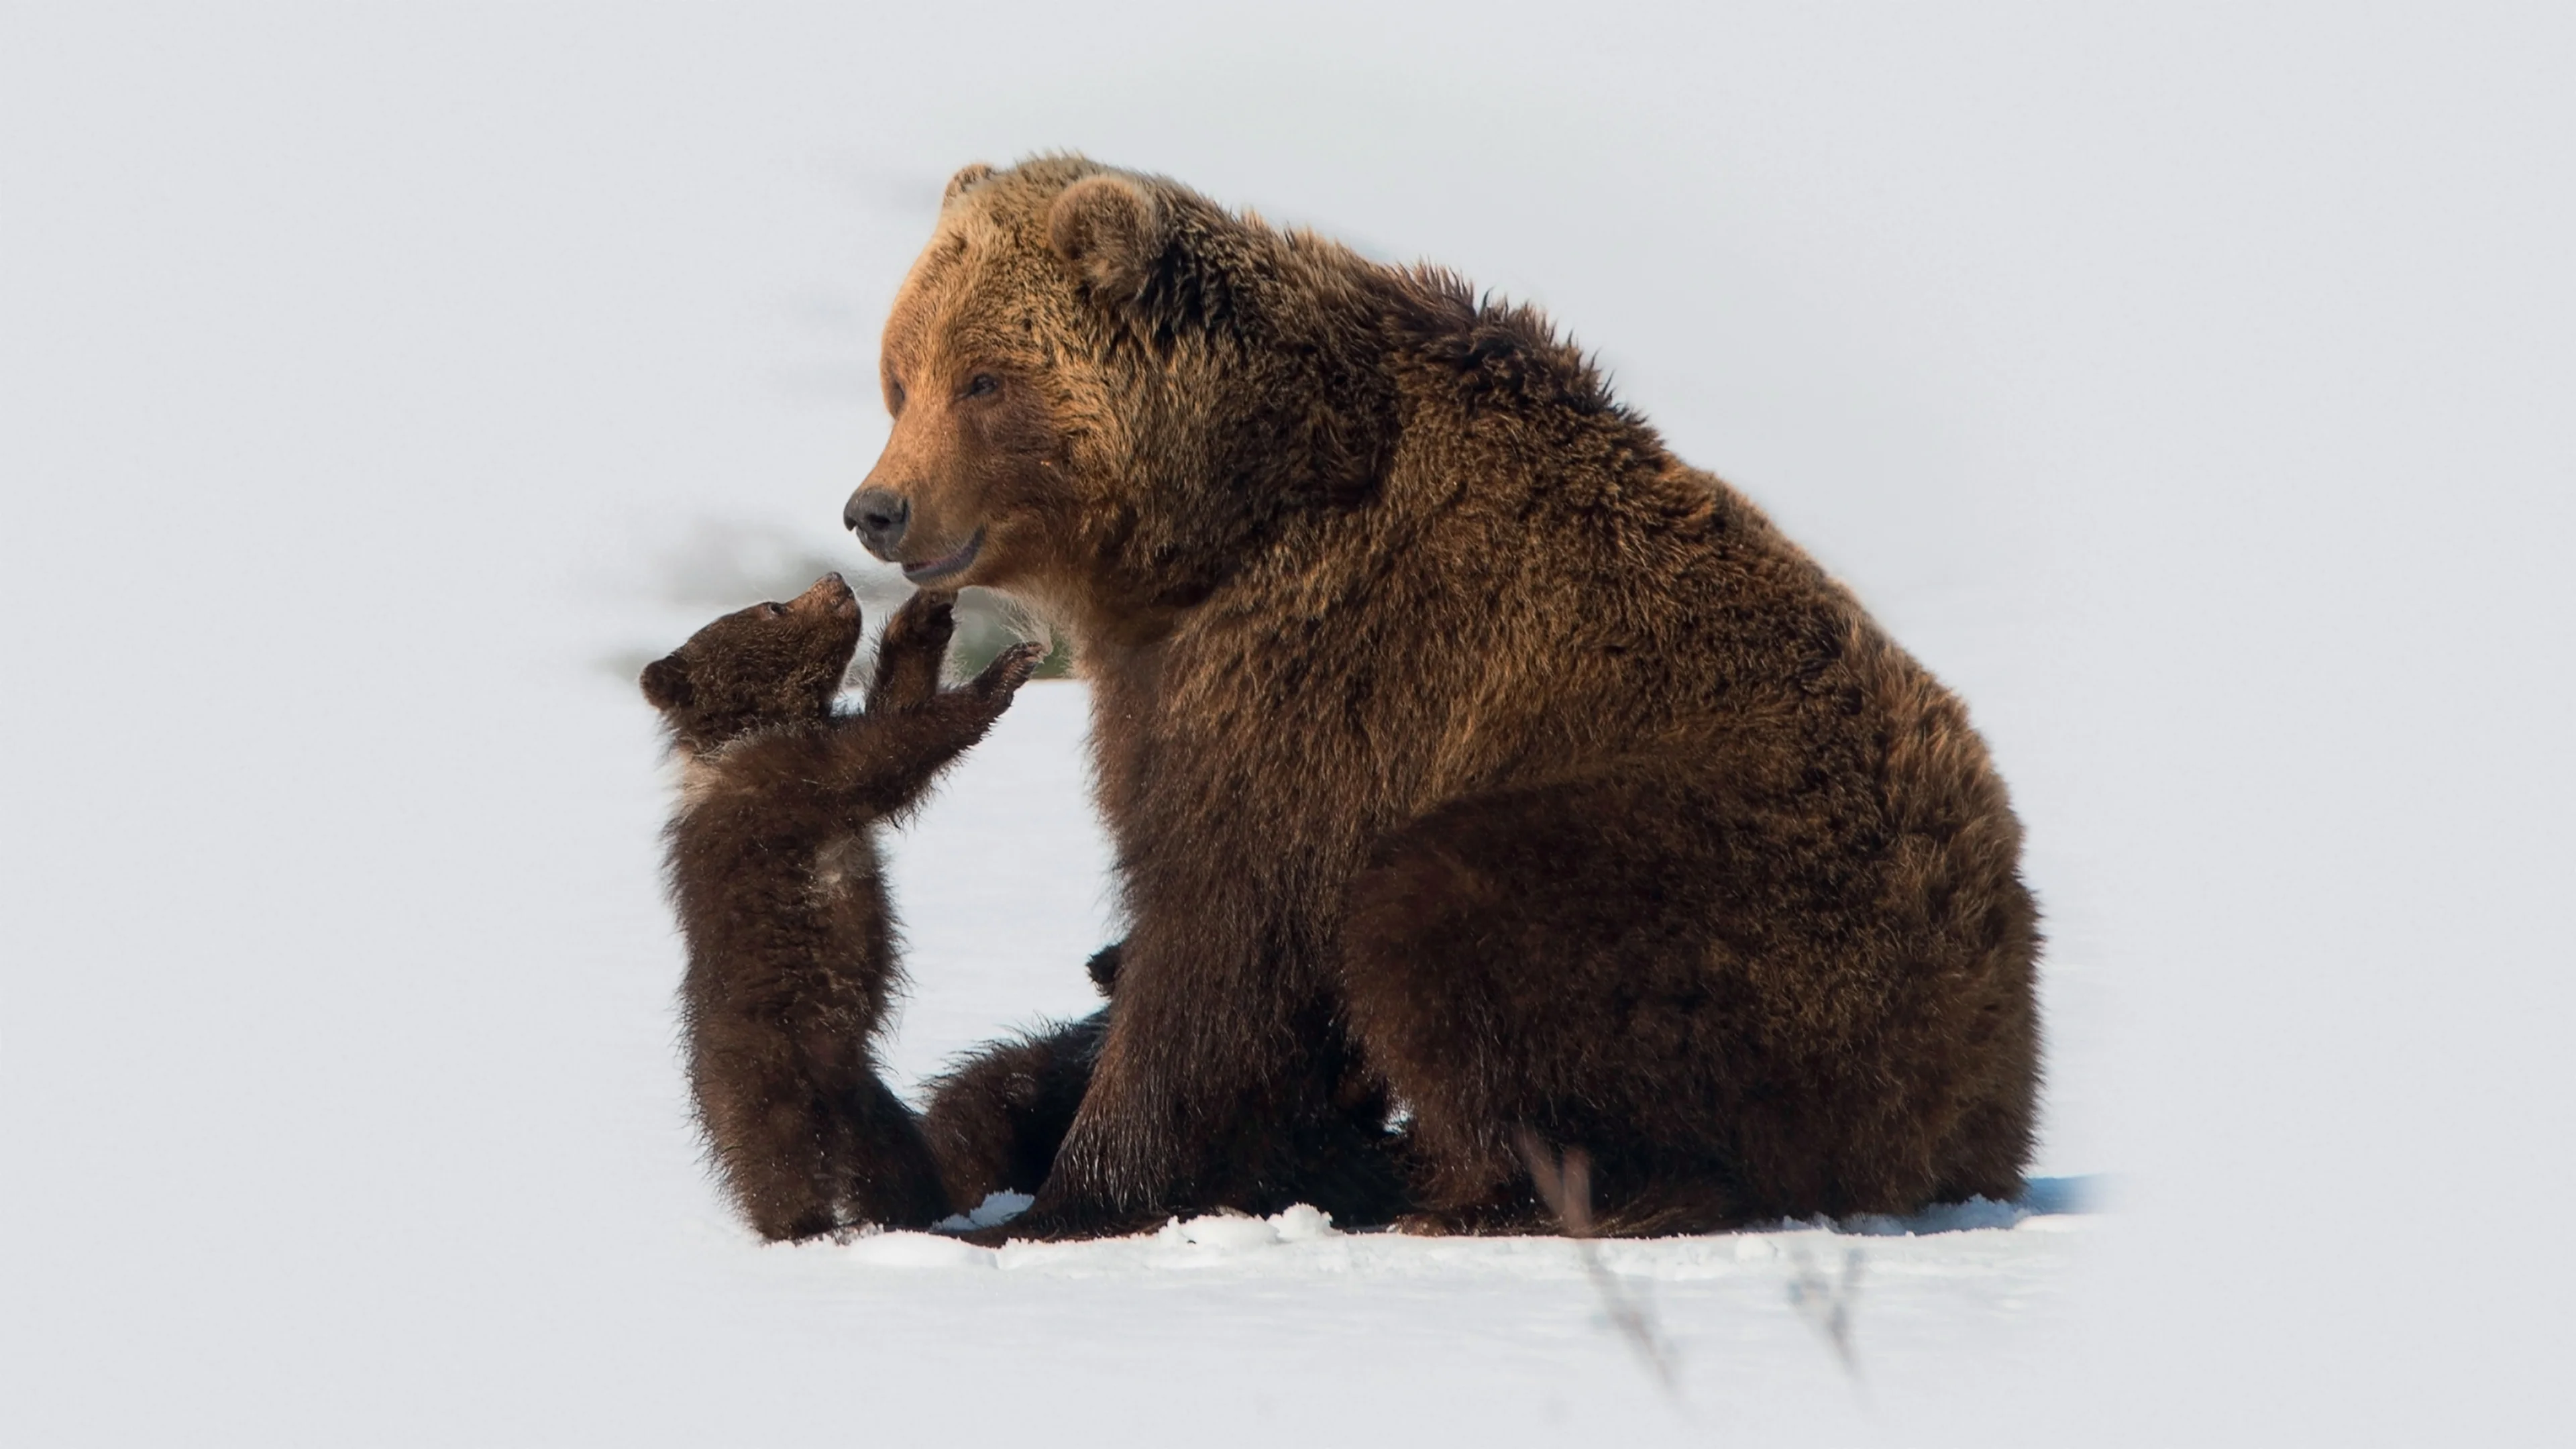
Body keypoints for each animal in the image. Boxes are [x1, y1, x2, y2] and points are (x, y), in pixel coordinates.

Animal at [644, 570, 1046, 1237]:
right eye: (772, 607)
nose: (834, 580)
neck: (750, 730)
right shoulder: (789, 783)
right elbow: (889, 751)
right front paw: (1003, 671)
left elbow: (895, 706)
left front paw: (926, 614)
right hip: (764, 1063)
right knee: (777, 1157)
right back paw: (803, 1226)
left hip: (864, 1098)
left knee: (894, 1159)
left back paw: (918, 1214)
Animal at [855, 160, 2040, 1242]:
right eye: (901, 377)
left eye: (983, 380)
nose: (876, 508)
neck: (1218, 519)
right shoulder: (1181, 669)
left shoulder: (1324, 669)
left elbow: (1224, 928)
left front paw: (1062, 1198)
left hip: (1742, 888)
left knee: (1436, 914)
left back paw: (1476, 1194)